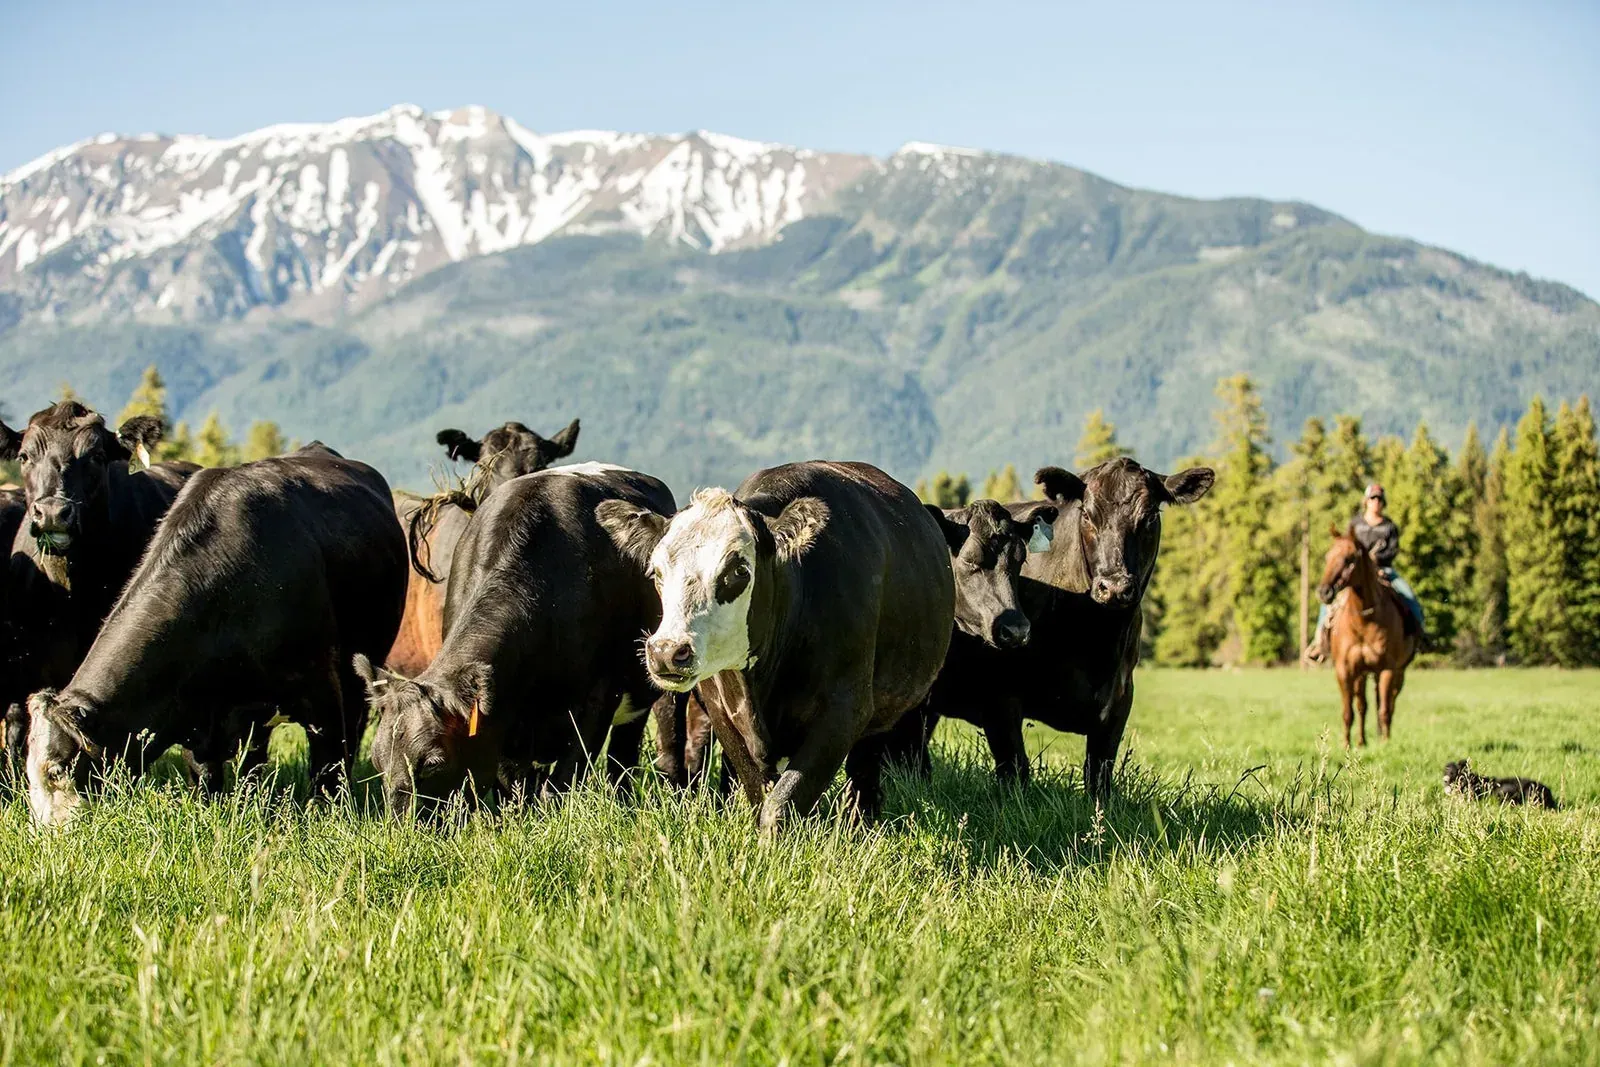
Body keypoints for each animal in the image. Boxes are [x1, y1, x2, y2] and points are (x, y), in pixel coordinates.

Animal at [24, 444, 406, 825]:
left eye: (57, 770)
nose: (50, 834)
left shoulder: (320, 688)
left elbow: (327, 770)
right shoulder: (195, 720)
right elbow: (207, 782)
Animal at [355, 462, 675, 819]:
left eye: (434, 763)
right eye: (377, 761)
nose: (404, 825)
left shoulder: (601, 697)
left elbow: (563, 782)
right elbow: (514, 787)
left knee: (623, 758)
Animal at [596, 460, 955, 830]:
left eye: (739, 570)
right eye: (656, 571)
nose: (667, 651)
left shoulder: (845, 709)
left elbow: (783, 802)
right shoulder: (723, 713)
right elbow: (759, 793)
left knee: (864, 773)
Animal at [888, 459, 1212, 797]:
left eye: (1150, 517)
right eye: (1088, 514)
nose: (1114, 587)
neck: (1095, 641)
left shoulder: (1119, 703)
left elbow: (1099, 778)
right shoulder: (999, 698)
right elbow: (1015, 770)